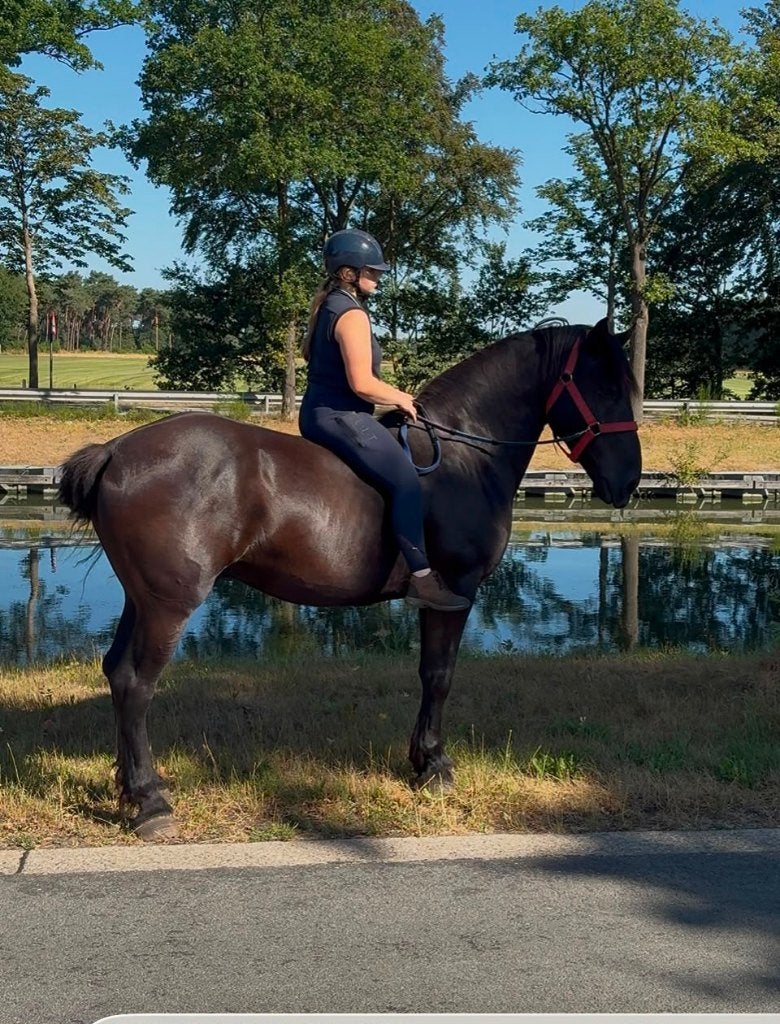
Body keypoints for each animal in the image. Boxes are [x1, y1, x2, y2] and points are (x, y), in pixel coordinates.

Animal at [57, 318, 641, 840]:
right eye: (606, 386)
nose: (629, 481)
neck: (463, 457)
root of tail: (116, 451)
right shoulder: (455, 592)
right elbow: (440, 675)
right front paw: (434, 764)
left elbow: (429, 674)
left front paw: (422, 760)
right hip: (168, 605)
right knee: (137, 683)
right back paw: (150, 802)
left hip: (142, 600)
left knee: (116, 673)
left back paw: (130, 788)